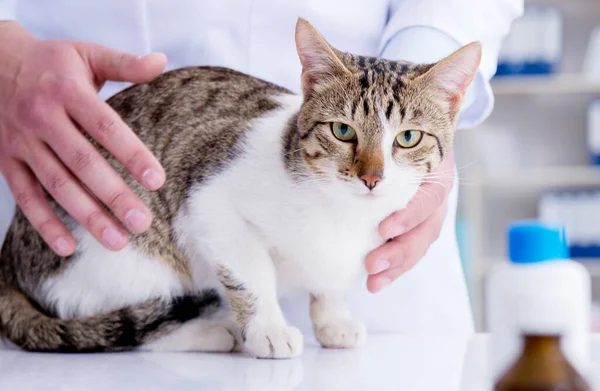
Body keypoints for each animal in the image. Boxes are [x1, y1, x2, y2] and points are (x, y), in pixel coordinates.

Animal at [0, 19, 478, 360]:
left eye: (408, 138)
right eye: (343, 131)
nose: (372, 177)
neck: (341, 214)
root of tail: (11, 250)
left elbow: (330, 282)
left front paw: (332, 319)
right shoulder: (207, 200)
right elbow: (251, 275)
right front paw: (267, 329)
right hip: (124, 253)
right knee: (133, 324)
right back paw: (213, 332)